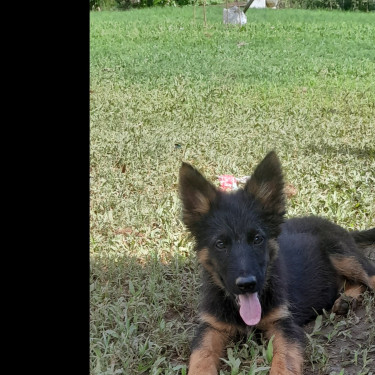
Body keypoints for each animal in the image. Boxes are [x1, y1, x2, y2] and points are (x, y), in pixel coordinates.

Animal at [179, 152, 375, 375]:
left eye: (257, 239)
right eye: (220, 244)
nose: (247, 284)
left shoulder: (284, 324)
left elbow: (284, 361)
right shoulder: (211, 327)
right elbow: (200, 357)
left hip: (342, 254)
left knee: (370, 275)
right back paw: (347, 300)